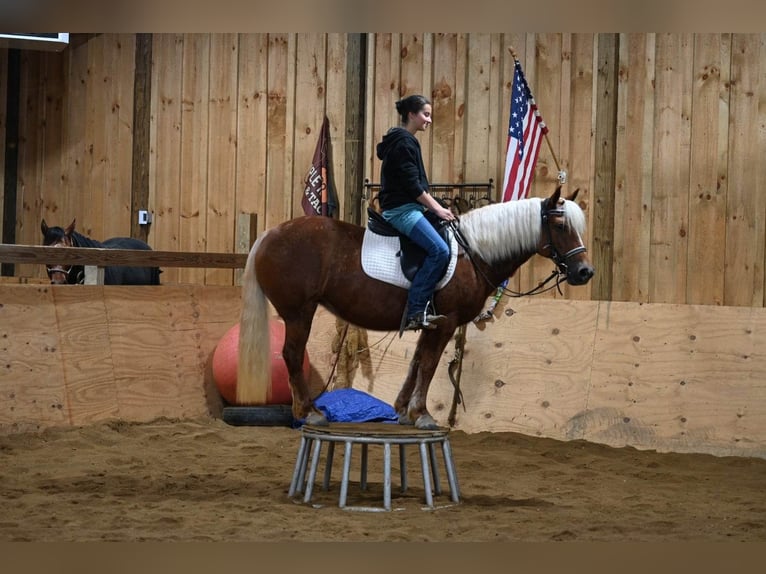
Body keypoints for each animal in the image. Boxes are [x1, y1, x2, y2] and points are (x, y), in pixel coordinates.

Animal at [237, 187, 596, 430]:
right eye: (561, 227)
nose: (584, 272)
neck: (472, 253)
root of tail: (271, 233)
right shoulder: (447, 322)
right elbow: (430, 364)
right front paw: (422, 414)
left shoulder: (428, 320)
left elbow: (417, 361)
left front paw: (402, 409)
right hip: (299, 312)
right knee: (292, 355)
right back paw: (309, 412)